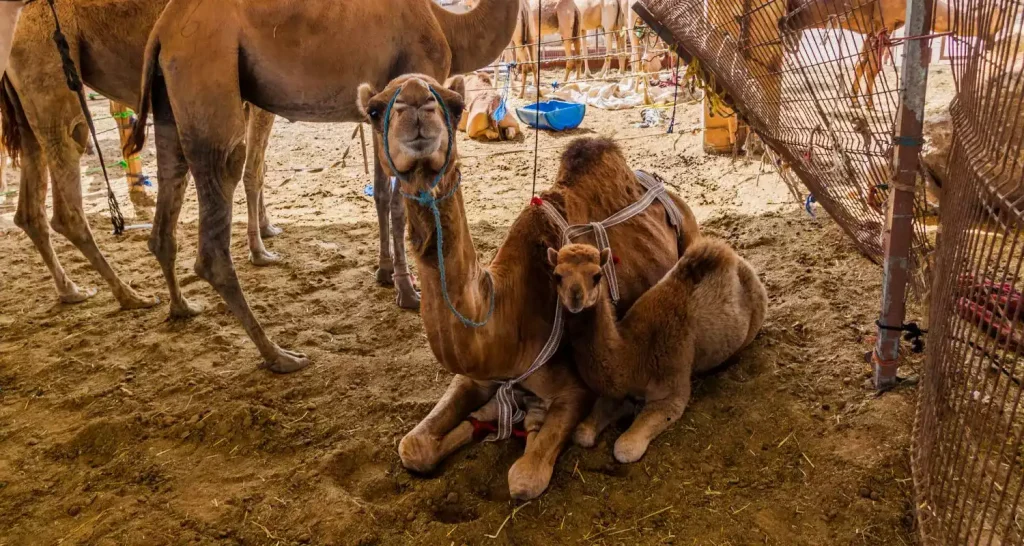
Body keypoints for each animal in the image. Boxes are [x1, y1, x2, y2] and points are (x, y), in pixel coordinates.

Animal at [0, 0, 286, 310]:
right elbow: (253, 172)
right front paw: (260, 251)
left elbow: (258, 168)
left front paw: (267, 228)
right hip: (50, 72)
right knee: (68, 182)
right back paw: (131, 296)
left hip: (25, 107)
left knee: (29, 208)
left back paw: (72, 290)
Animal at [128, 0, 520, 373]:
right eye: (455, 106)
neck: (448, 23)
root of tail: (162, 32)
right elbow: (397, 204)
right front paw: (408, 292)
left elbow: (380, 194)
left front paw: (384, 274)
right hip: (207, 70)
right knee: (221, 195)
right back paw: (279, 355)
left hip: (168, 102)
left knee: (169, 190)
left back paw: (182, 307)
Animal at [356, 73, 700, 498]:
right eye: (374, 111)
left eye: (455, 105)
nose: (417, 103)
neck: (505, 316)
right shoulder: (475, 376)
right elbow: (413, 446)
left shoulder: (573, 390)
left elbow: (524, 478)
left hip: (689, 226)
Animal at [550, 238, 767, 463]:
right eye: (557, 276)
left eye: (597, 275)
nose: (575, 298)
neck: (632, 354)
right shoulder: (615, 391)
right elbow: (581, 433)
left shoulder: (670, 389)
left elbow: (624, 448)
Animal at [780, 0, 1006, 108]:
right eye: (996, 21)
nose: (991, 43)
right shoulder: (884, 22)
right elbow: (873, 67)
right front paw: (868, 104)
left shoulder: (876, 28)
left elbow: (862, 63)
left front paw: (855, 100)